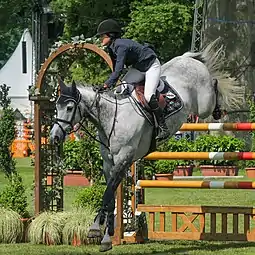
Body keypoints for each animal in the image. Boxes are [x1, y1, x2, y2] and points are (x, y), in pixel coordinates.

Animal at [49, 38, 243, 252]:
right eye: (56, 106)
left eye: (69, 107)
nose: (54, 137)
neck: (112, 118)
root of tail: (188, 59)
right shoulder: (110, 164)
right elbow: (110, 196)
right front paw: (107, 237)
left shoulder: (124, 159)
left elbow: (108, 194)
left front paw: (95, 230)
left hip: (204, 104)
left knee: (214, 86)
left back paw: (219, 107)